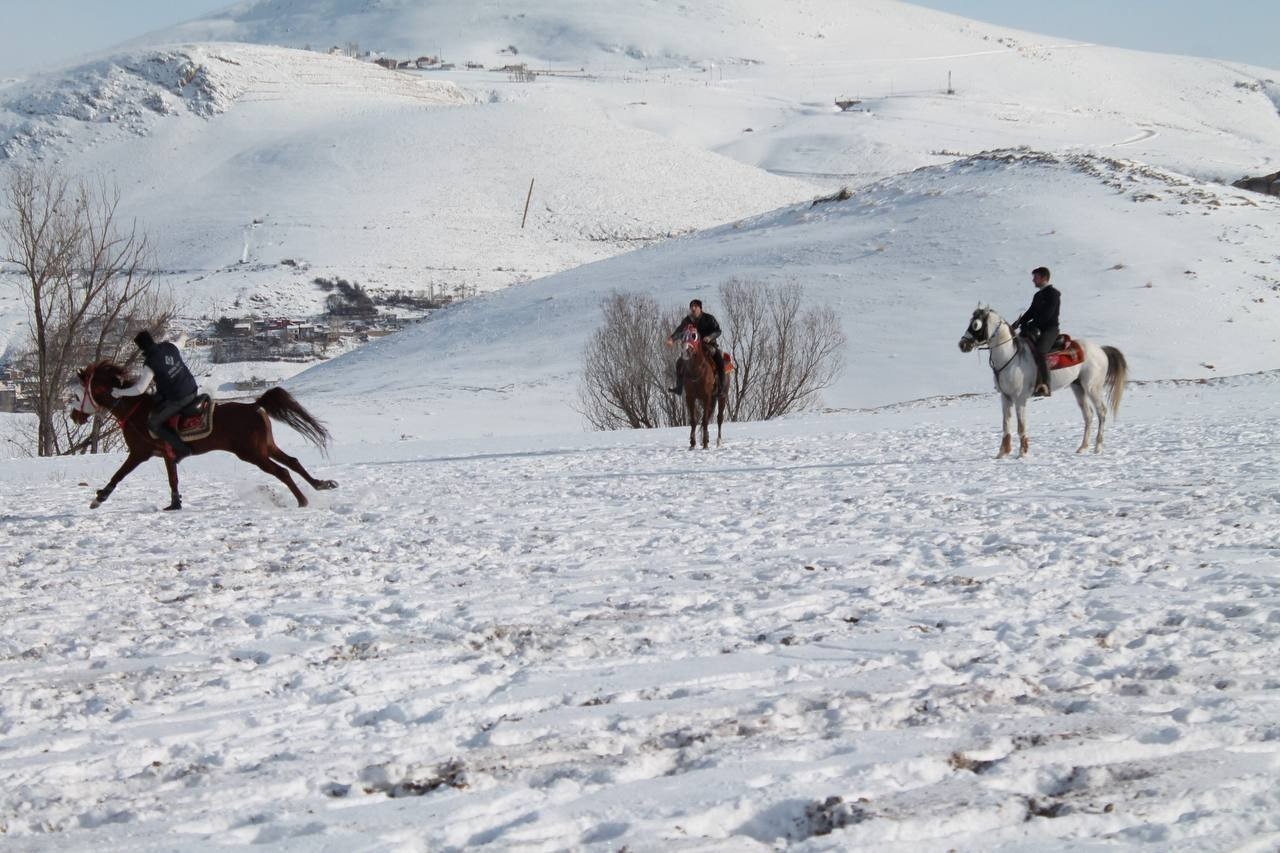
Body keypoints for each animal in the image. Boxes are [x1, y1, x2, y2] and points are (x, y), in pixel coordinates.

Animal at [72, 356, 337, 504]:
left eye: (76, 395)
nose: (75, 416)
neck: (136, 412)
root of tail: (254, 406)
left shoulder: (139, 453)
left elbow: (119, 474)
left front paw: (99, 498)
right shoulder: (167, 455)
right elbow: (173, 480)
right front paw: (174, 504)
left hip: (253, 453)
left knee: (282, 471)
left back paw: (303, 501)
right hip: (266, 447)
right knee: (293, 462)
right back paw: (321, 484)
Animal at [957, 302, 1126, 455]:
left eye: (976, 325)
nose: (962, 344)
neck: (1010, 356)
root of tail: (1101, 350)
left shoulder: (1020, 398)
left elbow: (1021, 426)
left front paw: (1023, 453)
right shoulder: (1005, 397)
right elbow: (1005, 425)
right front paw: (1002, 453)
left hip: (1092, 388)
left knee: (1101, 412)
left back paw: (1098, 447)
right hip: (1078, 387)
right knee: (1088, 415)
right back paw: (1083, 447)